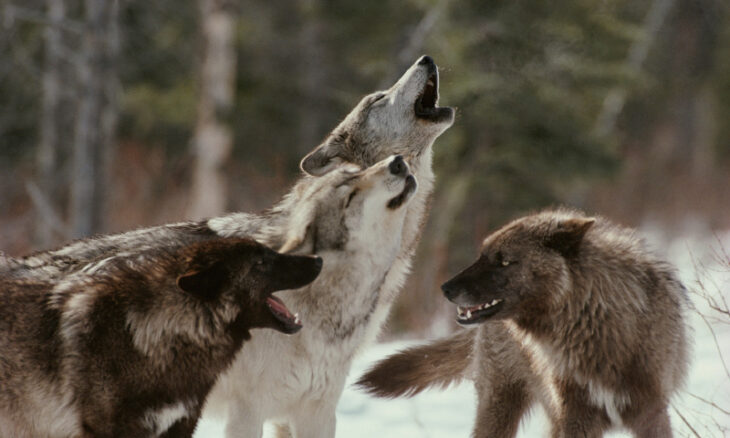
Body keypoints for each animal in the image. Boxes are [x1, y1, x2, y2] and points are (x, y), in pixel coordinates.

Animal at [356, 210, 688, 438]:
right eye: (482, 255)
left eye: (504, 261)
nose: (445, 288)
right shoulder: (576, 416)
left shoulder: (651, 413)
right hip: (500, 408)